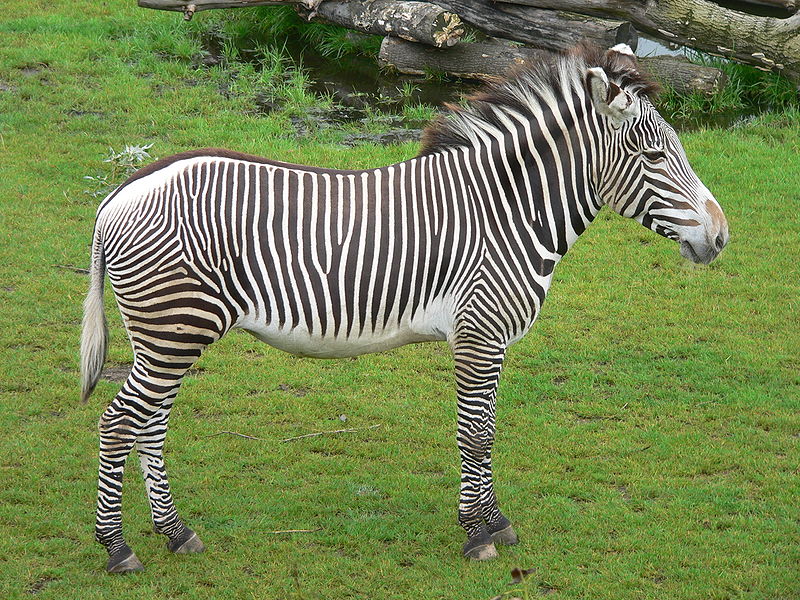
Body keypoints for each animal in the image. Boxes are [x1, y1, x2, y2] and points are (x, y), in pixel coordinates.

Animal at [83, 43, 732, 572]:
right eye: (654, 157)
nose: (722, 237)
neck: (507, 211)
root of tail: (122, 191)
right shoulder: (479, 333)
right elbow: (474, 433)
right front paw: (477, 536)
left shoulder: (491, 340)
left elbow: (486, 430)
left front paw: (494, 521)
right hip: (174, 328)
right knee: (119, 423)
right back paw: (117, 548)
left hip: (168, 334)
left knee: (149, 424)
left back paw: (175, 533)